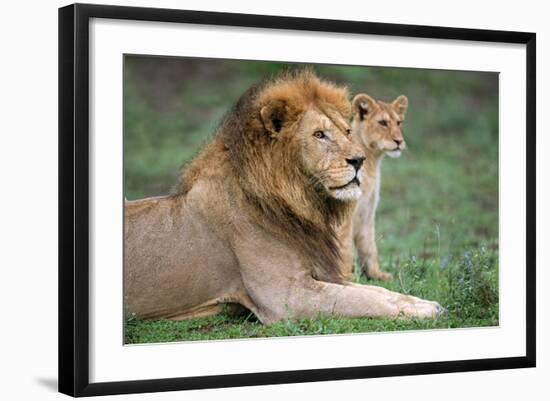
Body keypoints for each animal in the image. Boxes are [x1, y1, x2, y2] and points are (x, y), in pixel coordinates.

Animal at [125, 69, 444, 324]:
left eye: (347, 131)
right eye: (319, 135)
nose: (359, 160)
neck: (300, 202)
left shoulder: (321, 274)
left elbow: (376, 291)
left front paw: (423, 302)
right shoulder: (286, 296)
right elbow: (363, 300)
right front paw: (422, 311)